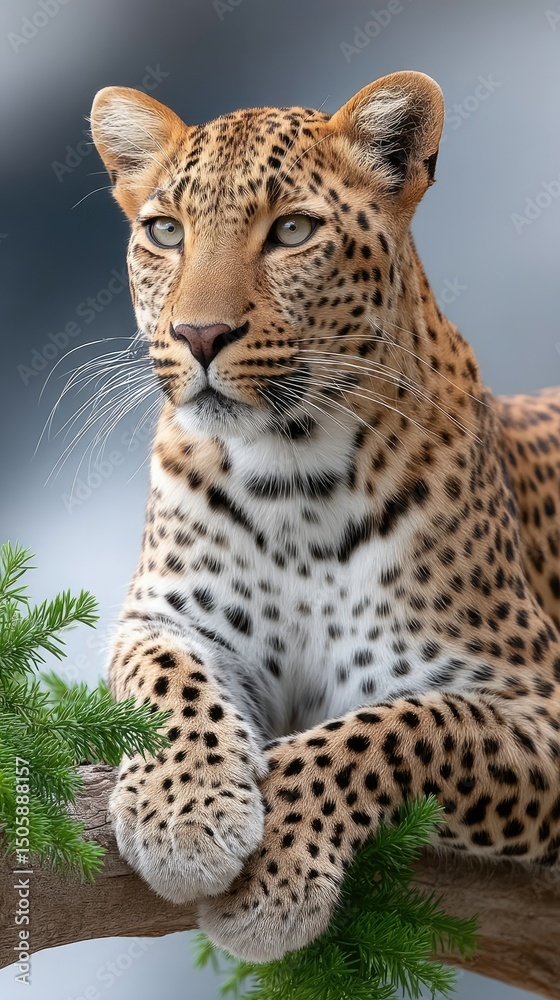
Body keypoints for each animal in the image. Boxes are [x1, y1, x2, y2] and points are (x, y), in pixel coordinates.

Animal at [90, 71, 560, 962]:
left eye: (293, 231)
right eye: (166, 232)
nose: (199, 334)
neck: (293, 477)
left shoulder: (536, 699)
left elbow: (405, 724)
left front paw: (276, 864)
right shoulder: (164, 616)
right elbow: (166, 678)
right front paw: (181, 809)